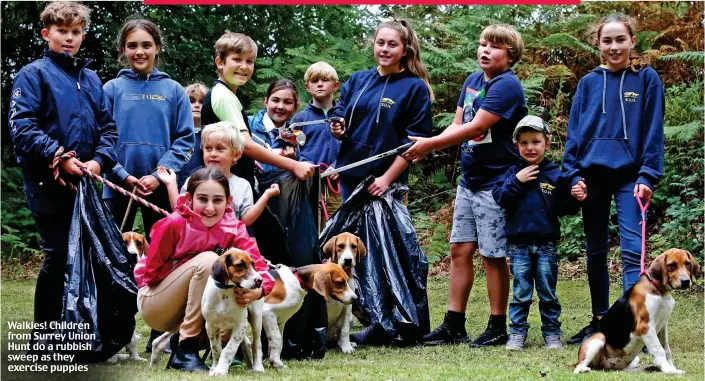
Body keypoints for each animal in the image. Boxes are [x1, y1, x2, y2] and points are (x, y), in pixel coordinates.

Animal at [572, 248, 700, 372]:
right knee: (578, 367)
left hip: (631, 361)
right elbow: (658, 349)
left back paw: (650, 367)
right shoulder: (645, 326)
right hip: (599, 338)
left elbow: (666, 350)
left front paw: (671, 368)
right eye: (672, 265)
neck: (659, 291)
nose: (685, 281)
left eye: (687, 264)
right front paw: (669, 370)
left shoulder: (663, 326)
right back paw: (584, 369)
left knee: (625, 370)